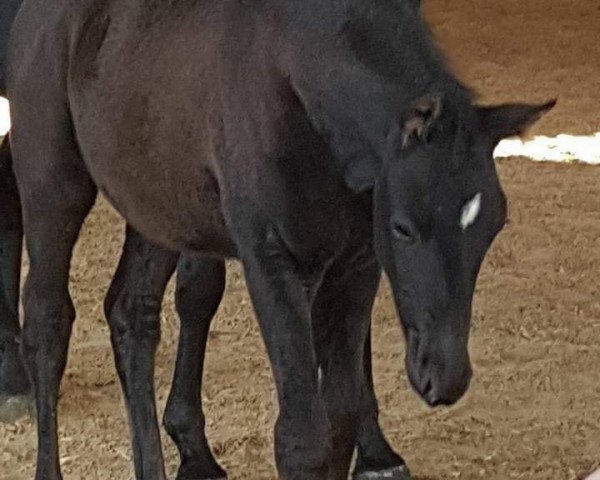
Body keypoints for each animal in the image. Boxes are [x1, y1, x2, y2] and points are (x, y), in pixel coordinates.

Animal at [3, 0, 552, 478]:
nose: (445, 375)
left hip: (157, 209)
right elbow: (301, 438)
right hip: (54, 184)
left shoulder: (356, 265)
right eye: (403, 227)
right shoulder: (273, 263)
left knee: (132, 315)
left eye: (493, 226)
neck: (294, 77)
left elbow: (340, 416)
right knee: (48, 322)